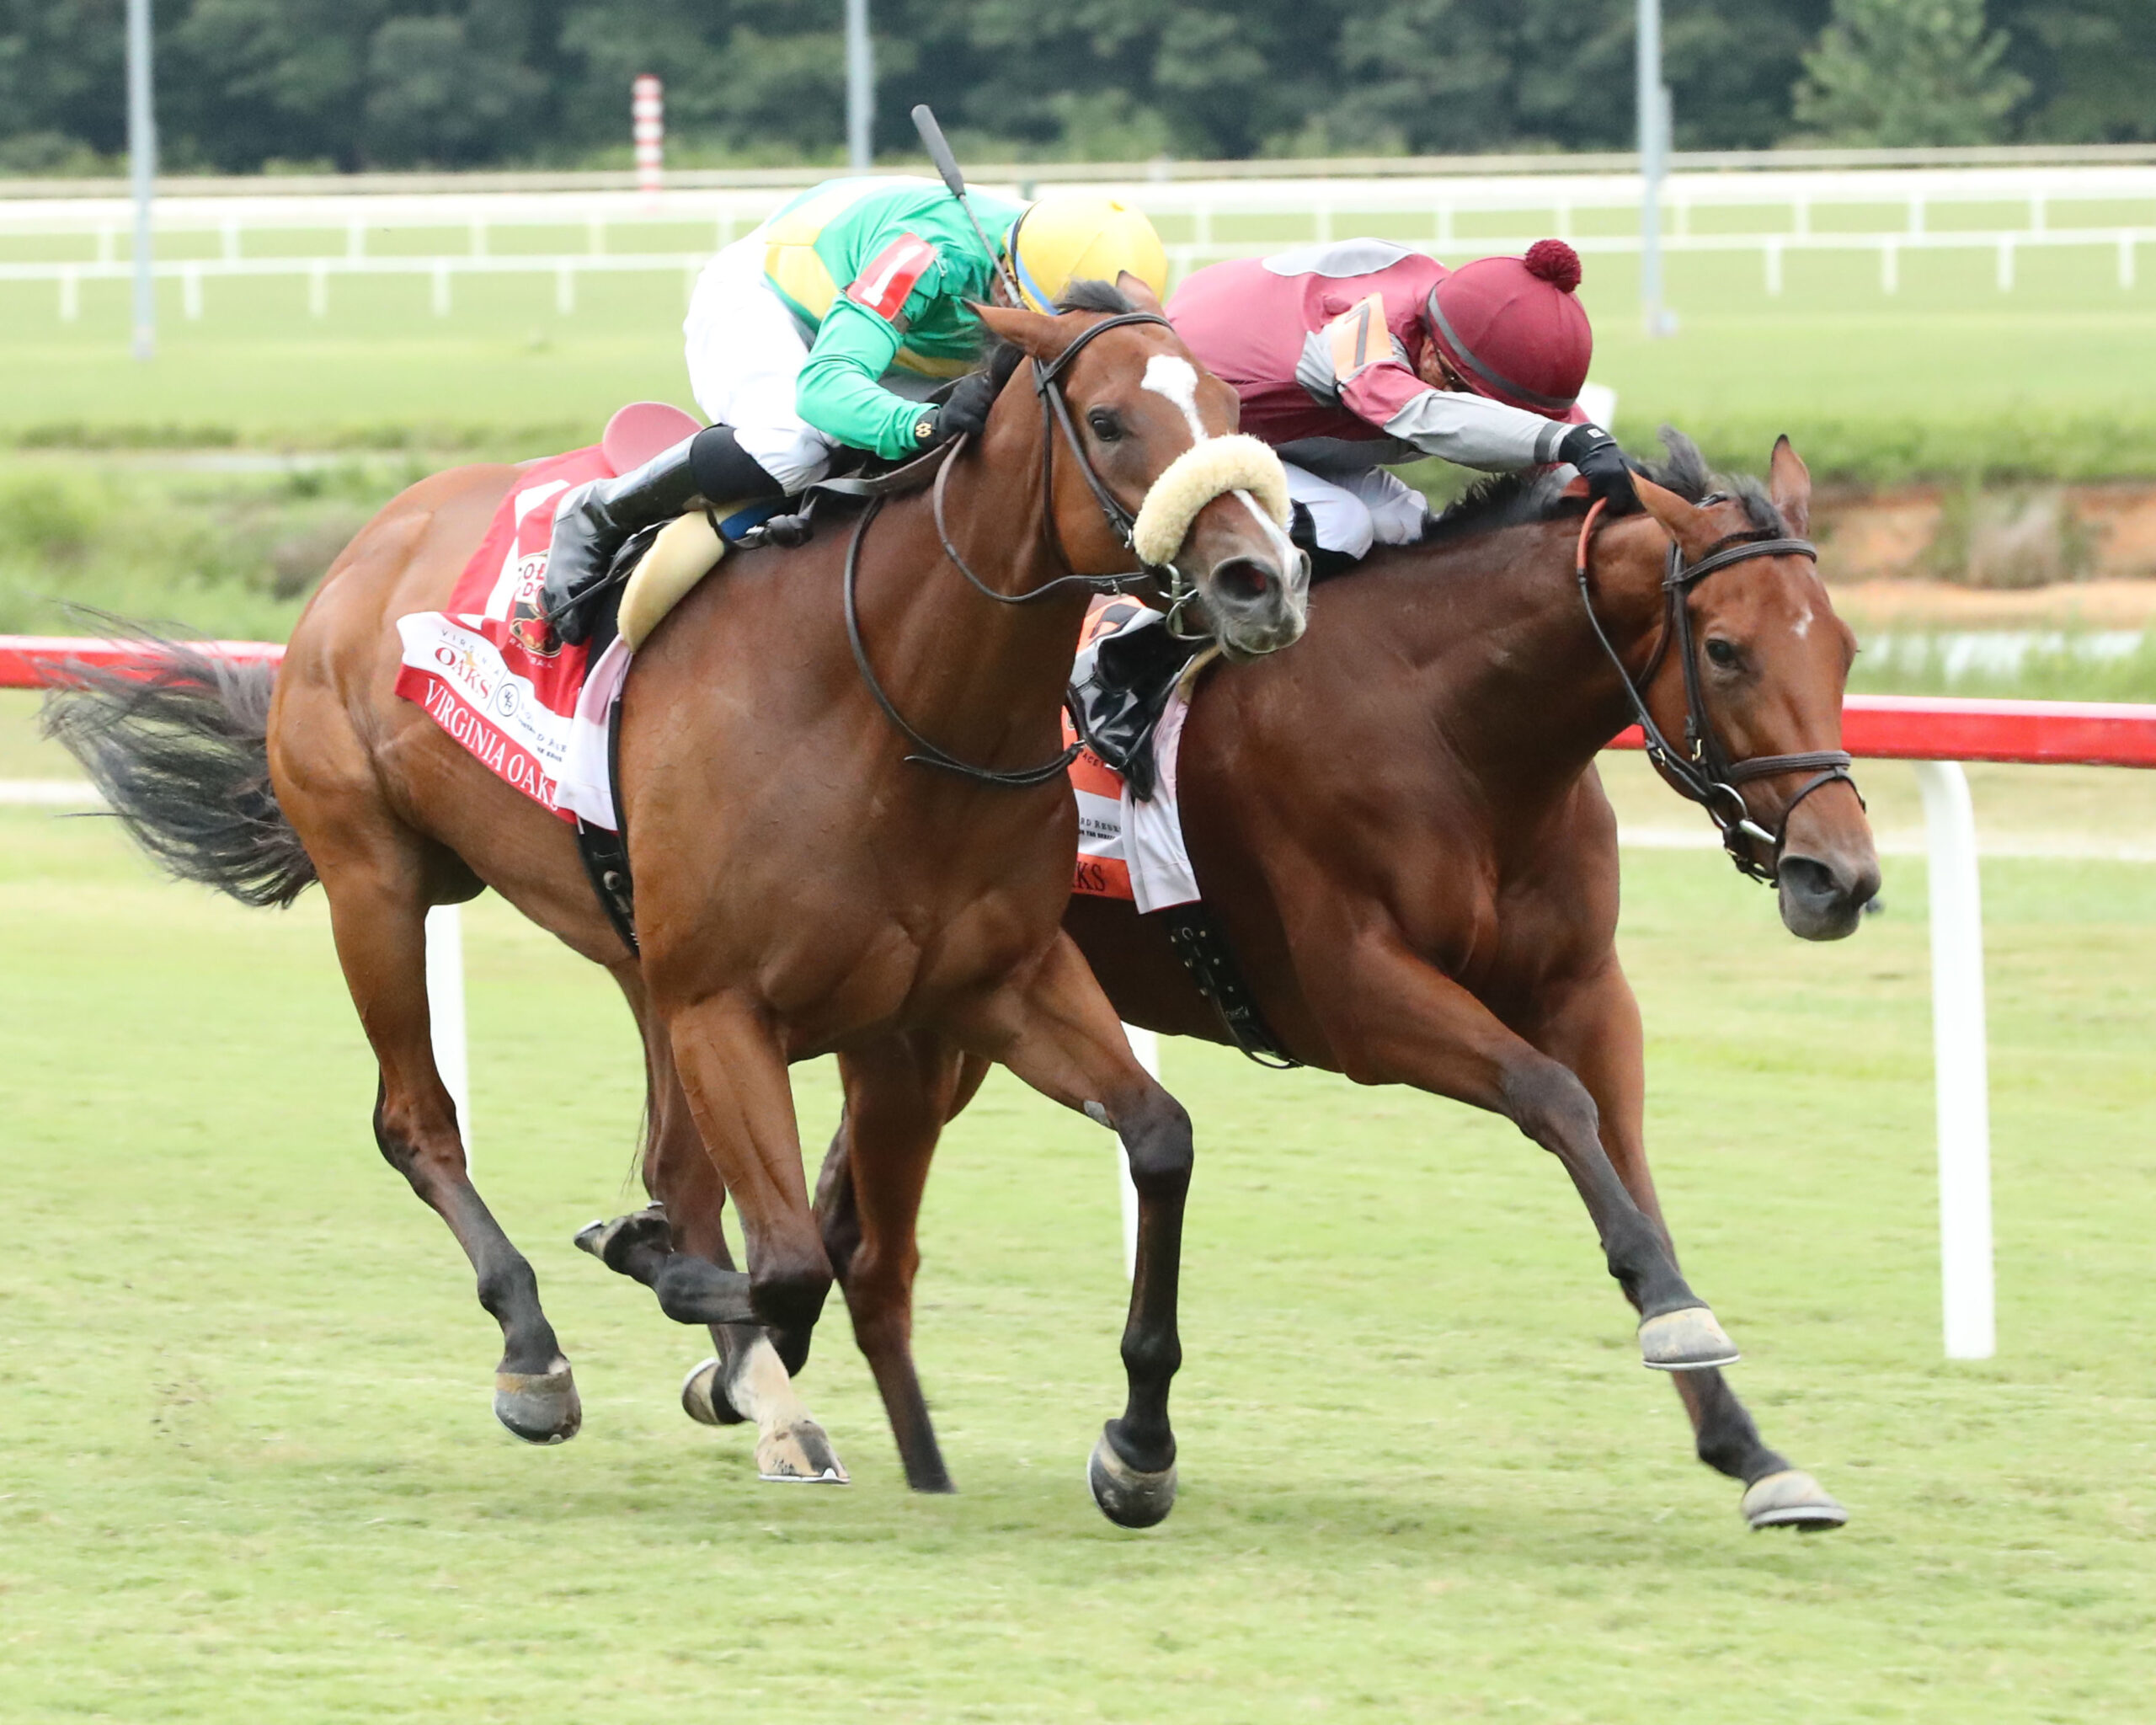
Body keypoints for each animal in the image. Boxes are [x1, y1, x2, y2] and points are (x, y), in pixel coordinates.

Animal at [46, 275, 1310, 1518]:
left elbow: (1157, 1139)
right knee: (419, 1121)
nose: (1263, 580)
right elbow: (788, 1262)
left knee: (672, 1163)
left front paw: (1138, 1444)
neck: (895, 703)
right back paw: (536, 1354)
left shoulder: (994, 982)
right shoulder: (726, 1006)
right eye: (1109, 420)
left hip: (629, 951)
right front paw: (661, 1283)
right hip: (376, 876)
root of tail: (372, 542)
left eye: (1224, 401)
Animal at [788, 426, 1871, 1526]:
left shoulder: (1585, 990)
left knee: (847, 1221)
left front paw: (1749, 1444)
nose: (1840, 876)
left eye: (1843, 647)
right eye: (1726, 650)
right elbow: (1551, 1095)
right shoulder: (1361, 999)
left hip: (956, 1022)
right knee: (866, 1244)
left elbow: (1628, 1165)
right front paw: (1676, 1317)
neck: (1454, 732)